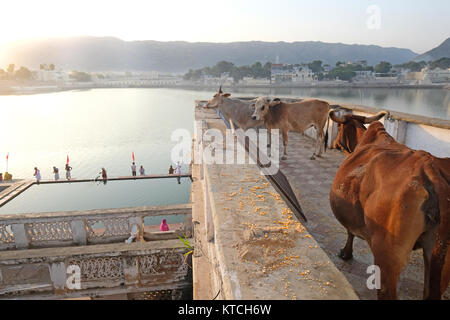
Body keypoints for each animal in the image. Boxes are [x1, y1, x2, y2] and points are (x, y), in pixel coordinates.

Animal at [326, 110, 450, 300]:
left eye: (339, 127)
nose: (332, 144)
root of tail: (432, 172)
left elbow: (350, 231)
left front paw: (346, 253)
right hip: (441, 260)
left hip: (388, 256)